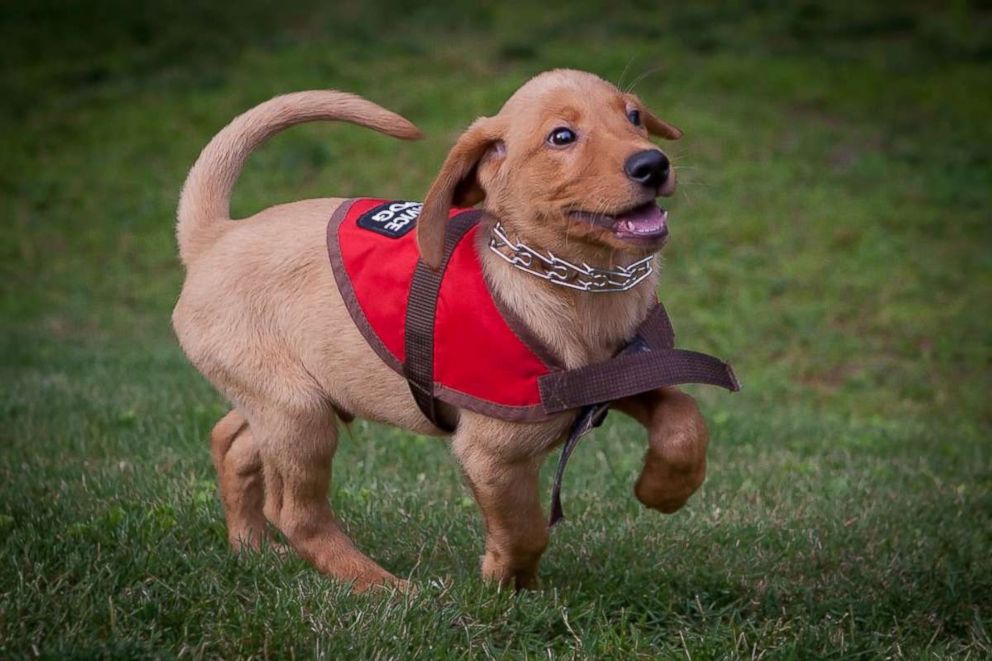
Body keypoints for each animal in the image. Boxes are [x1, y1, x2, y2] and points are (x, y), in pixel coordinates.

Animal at [172, 69, 712, 592]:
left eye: (634, 116)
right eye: (562, 137)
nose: (653, 164)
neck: (575, 285)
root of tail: (214, 236)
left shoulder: (617, 377)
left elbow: (685, 418)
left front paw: (662, 490)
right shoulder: (490, 454)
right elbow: (525, 528)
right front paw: (507, 582)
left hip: (294, 397)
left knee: (231, 442)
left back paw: (252, 548)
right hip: (298, 413)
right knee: (295, 512)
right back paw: (383, 588)